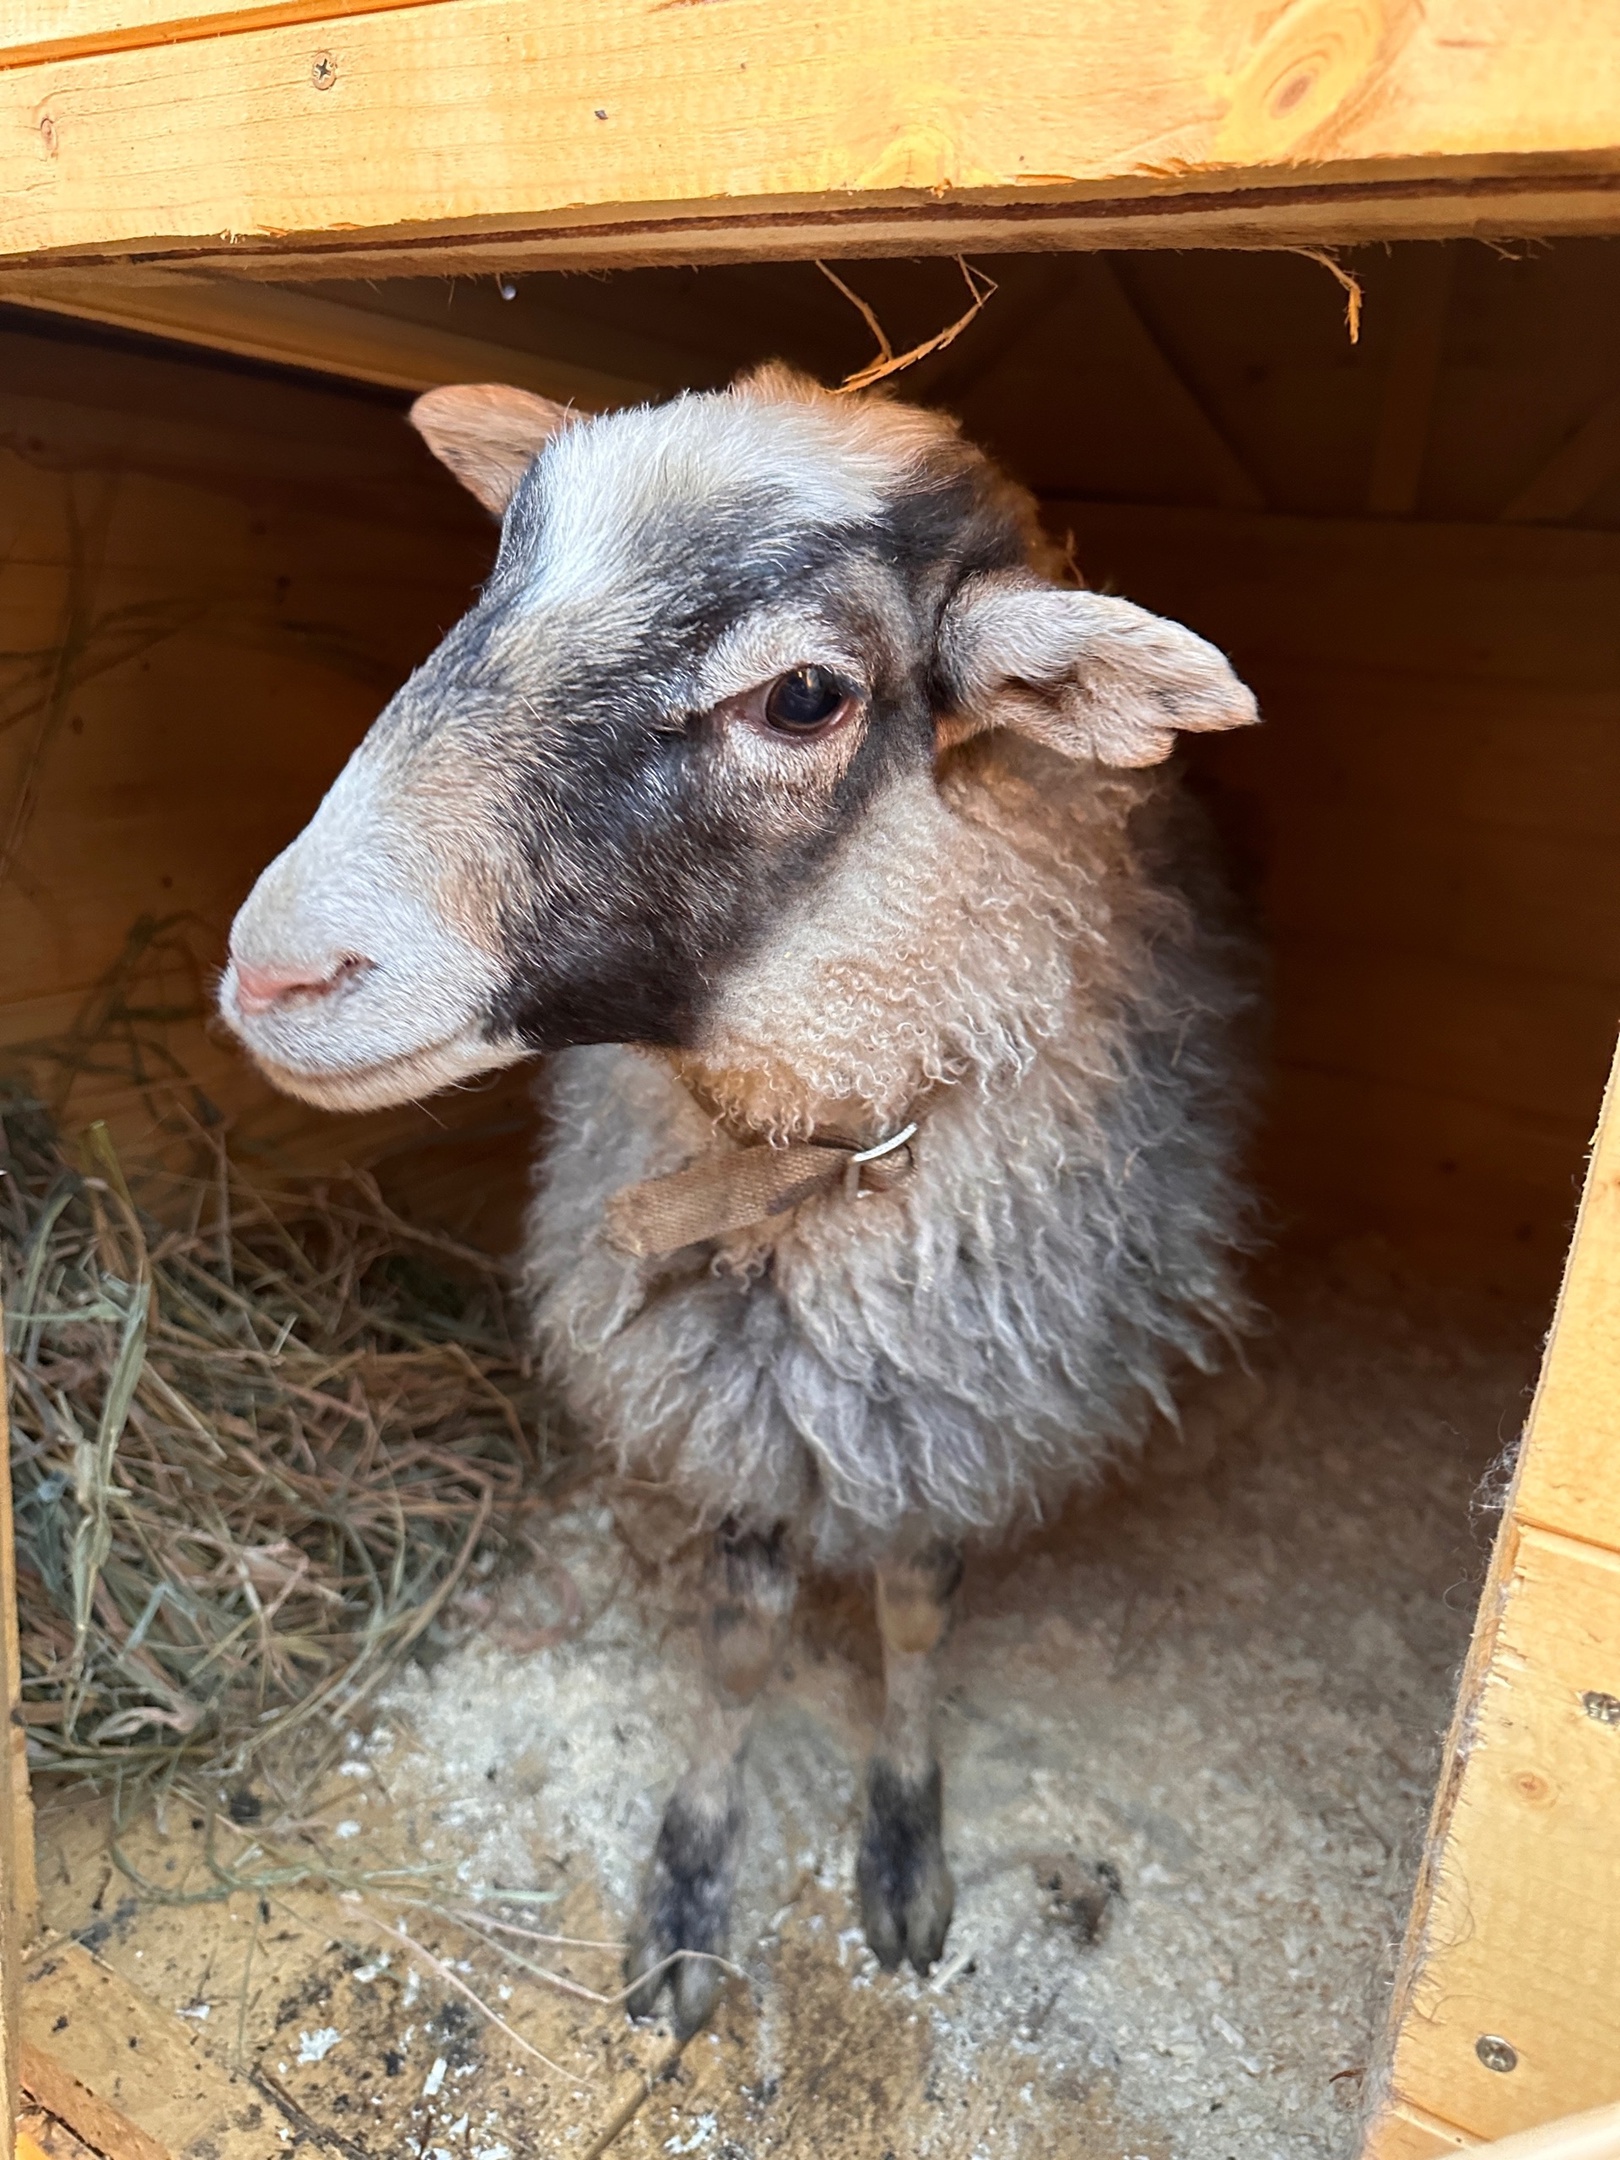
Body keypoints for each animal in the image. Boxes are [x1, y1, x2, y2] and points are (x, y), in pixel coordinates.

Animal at [220, 365, 1259, 2037]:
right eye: (495, 581)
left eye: (806, 697)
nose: (277, 970)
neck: (800, 1161)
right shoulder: (742, 1414)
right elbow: (737, 1645)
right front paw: (692, 1894)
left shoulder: (949, 1405)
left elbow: (912, 1613)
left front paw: (904, 1850)